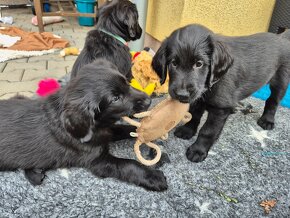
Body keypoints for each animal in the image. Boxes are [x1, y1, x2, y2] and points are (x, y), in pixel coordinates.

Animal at [0, 58, 168, 192]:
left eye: (127, 82)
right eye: (115, 98)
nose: (149, 100)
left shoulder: (106, 130)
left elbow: (125, 129)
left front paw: (149, 133)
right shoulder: (98, 161)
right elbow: (128, 164)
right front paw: (152, 176)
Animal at [152, 24, 290, 162]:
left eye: (199, 64)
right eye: (174, 63)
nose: (182, 94)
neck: (211, 84)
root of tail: (281, 37)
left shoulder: (219, 110)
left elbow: (208, 131)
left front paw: (198, 150)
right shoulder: (197, 100)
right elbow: (194, 116)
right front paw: (187, 130)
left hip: (281, 81)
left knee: (273, 101)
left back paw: (267, 120)